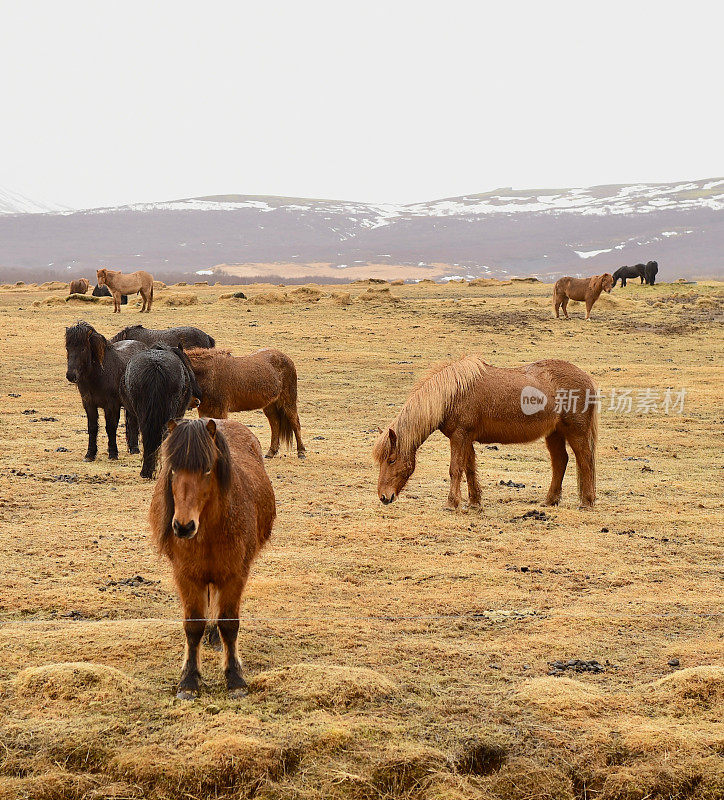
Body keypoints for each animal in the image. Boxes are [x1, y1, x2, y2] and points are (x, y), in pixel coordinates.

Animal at [66, 318, 147, 460]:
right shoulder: (89, 404)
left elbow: (110, 427)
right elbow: (92, 427)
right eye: (67, 348)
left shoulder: (111, 405)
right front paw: (90, 454)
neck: (99, 375)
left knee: (133, 422)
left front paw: (113, 453)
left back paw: (135, 449)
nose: (71, 375)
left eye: (83, 349)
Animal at [150, 418, 278, 700]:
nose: (183, 527)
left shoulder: (235, 575)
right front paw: (189, 681)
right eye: (173, 469)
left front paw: (235, 679)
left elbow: (229, 624)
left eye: (207, 469)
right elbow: (193, 626)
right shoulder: (186, 577)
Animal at [374, 358, 600, 512]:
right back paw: (550, 500)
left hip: (576, 433)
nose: (384, 497)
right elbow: (469, 469)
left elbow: (455, 469)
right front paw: (474, 502)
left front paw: (451, 503)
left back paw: (587, 502)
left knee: (585, 461)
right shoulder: (466, 439)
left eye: (391, 460)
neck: (453, 394)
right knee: (560, 461)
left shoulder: (459, 437)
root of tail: (587, 379)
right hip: (554, 434)